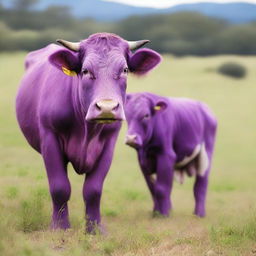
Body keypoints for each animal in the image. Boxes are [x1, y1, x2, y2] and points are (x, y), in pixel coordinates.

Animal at [15, 32, 160, 232]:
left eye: (124, 70)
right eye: (85, 71)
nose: (107, 108)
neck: (86, 131)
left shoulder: (108, 144)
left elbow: (93, 190)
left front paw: (95, 229)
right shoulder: (49, 138)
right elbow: (59, 187)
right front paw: (60, 226)